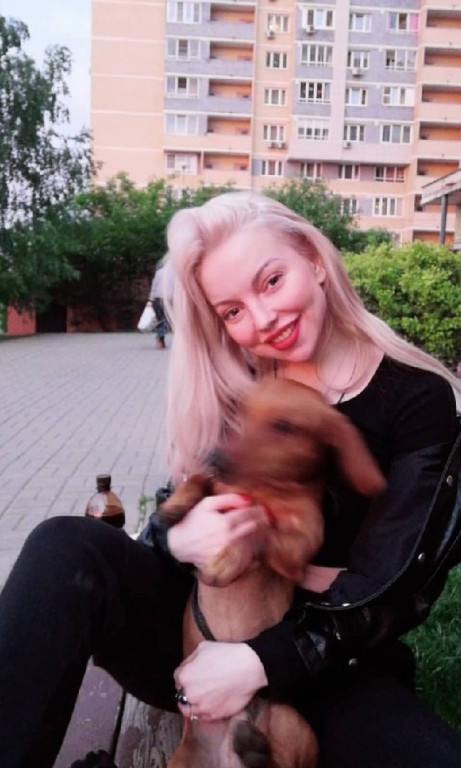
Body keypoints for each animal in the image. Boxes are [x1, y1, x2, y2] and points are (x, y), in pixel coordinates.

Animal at [159, 378, 386, 768]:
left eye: (284, 426)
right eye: (240, 411)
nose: (215, 457)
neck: (264, 488)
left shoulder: (298, 549)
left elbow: (258, 523)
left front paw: (230, 558)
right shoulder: (218, 487)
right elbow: (201, 482)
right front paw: (175, 506)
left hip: (293, 723)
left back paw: (252, 746)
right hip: (181, 758)